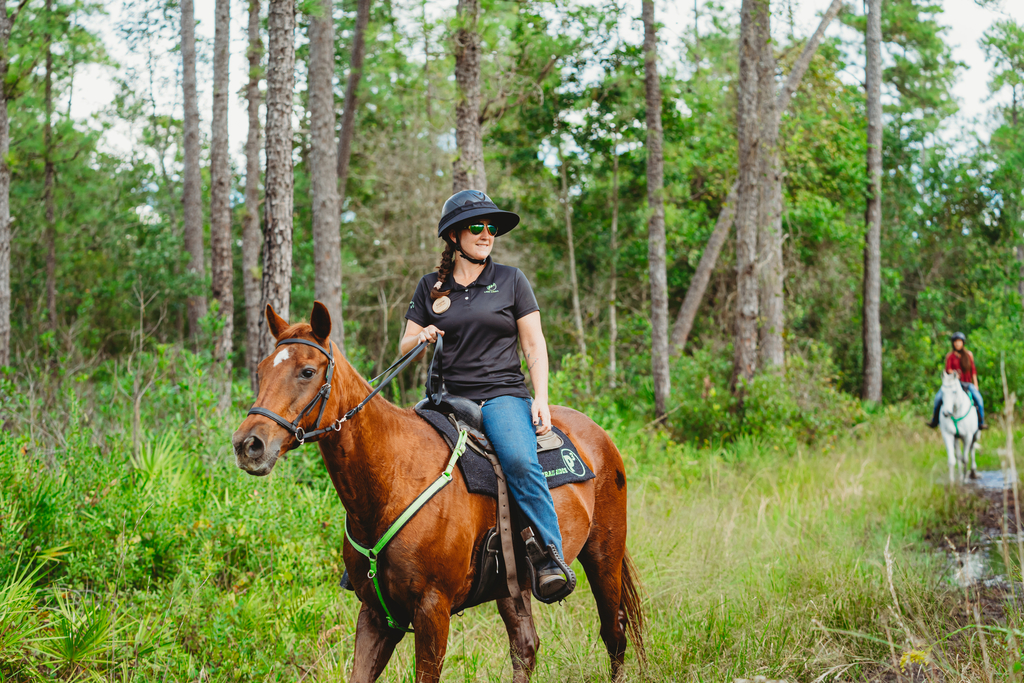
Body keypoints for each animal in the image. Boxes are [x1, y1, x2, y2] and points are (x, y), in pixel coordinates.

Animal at [235, 305, 643, 683]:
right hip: (512, 585)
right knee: (525, 647)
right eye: (261, 370)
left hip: (604, 555)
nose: (248, 444)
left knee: (614, 631)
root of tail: (598, 435)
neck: (393, 479)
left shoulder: (433, 609)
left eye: (307, 371)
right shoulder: (376, 614)